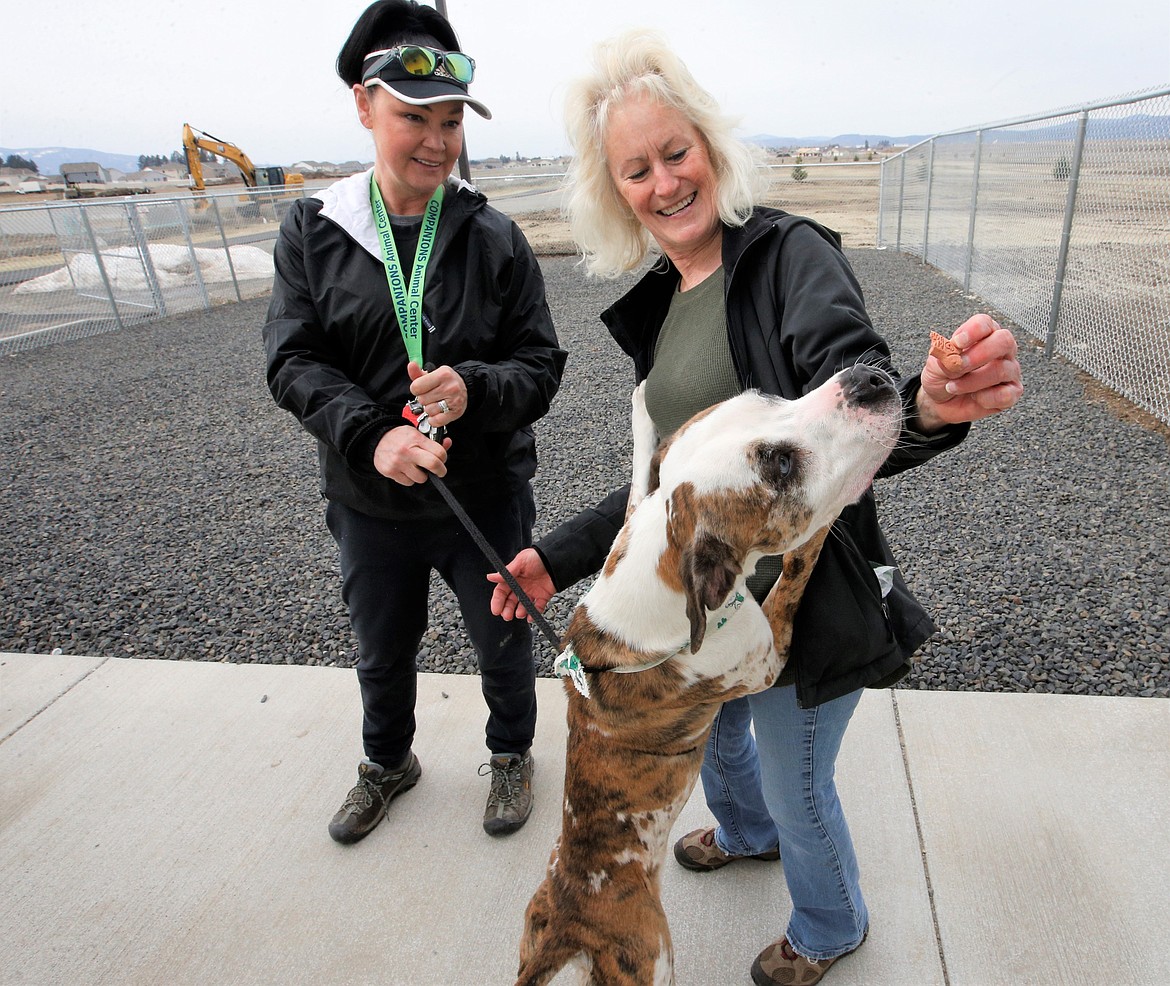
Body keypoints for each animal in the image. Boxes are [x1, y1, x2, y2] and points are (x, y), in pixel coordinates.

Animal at [514, 364, 903, 986]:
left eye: (766, 395)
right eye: (779, 465)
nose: (864, 378)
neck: (670, 568)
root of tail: (567, 930)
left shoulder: (640, 517)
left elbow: (638, 480)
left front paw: (640, 407)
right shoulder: (766, 655)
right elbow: (796, 565)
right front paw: (824, 524)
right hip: (651, 959)